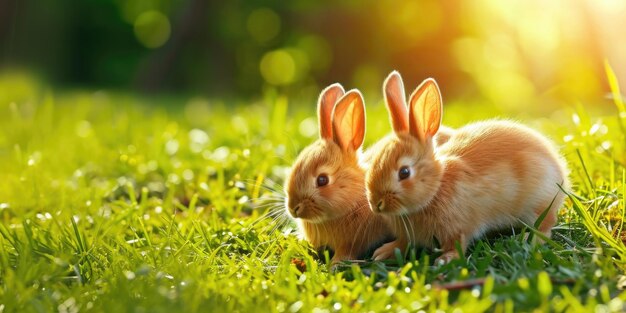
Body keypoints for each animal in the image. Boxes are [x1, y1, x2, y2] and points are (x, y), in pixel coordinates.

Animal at [364, 73, 568, 264]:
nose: (376, 204)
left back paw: (526, 239)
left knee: (545, 227)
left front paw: (445, 260)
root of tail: (560, 171)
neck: (436, 189)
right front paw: (384, 252)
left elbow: (457, 244)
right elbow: (404, 242)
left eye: (404, 172)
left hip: (538, 203)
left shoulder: (459, 227)